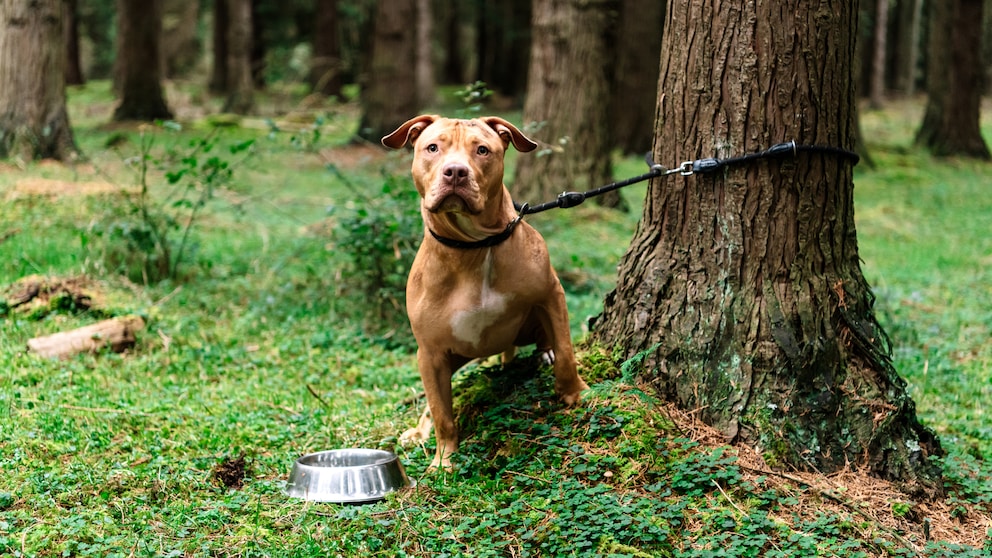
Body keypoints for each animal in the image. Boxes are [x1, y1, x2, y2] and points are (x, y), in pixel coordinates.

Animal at [382, 116, 588, 470]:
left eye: (482, 150)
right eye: (432, 147)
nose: (455, 172)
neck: (475, 247)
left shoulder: (551, 294)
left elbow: (565, 351)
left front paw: (575, 393)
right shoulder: (430, 354)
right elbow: (441, 412)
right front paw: (444, 460)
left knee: (545, 341)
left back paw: (543, 352)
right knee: (431, 406)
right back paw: (419, 432)